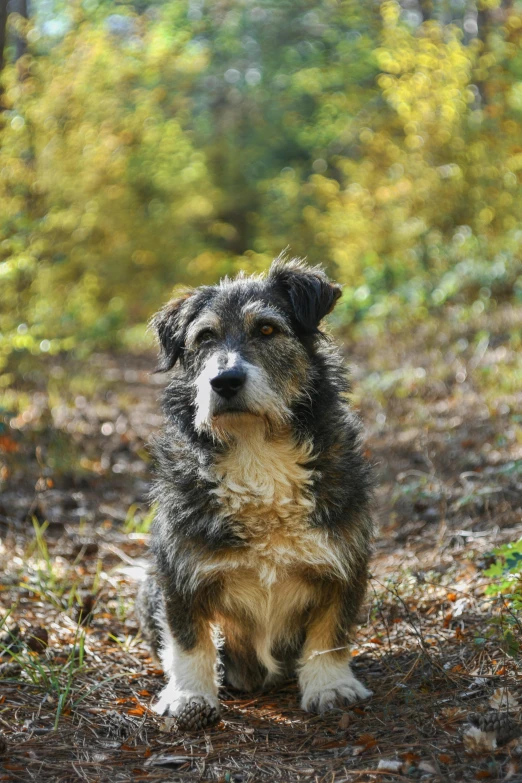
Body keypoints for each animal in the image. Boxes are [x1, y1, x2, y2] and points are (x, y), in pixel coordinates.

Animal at [137, 258, 374, 728]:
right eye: (204, 338)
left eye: (266, 329)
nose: (224, 381)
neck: (255, 450)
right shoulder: (177, 574)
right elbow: (189, 640)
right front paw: (189, 696)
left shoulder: (344, 565)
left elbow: (330, 633)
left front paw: (330, 686)